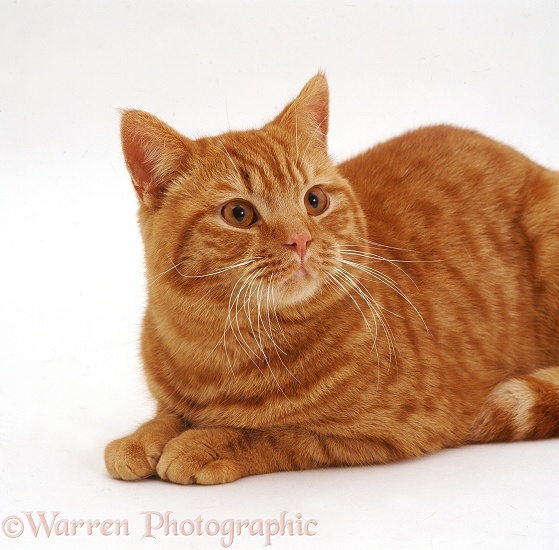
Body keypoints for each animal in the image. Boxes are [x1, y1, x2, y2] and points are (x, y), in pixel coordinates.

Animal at [105, 74, 559, 488]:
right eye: (238, 213)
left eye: (314, 200)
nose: (300, 239)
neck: (219, 351)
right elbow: (165, 416)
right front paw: (141, 437)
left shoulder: (395, 430)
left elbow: (276, 433)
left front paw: (205, 442)